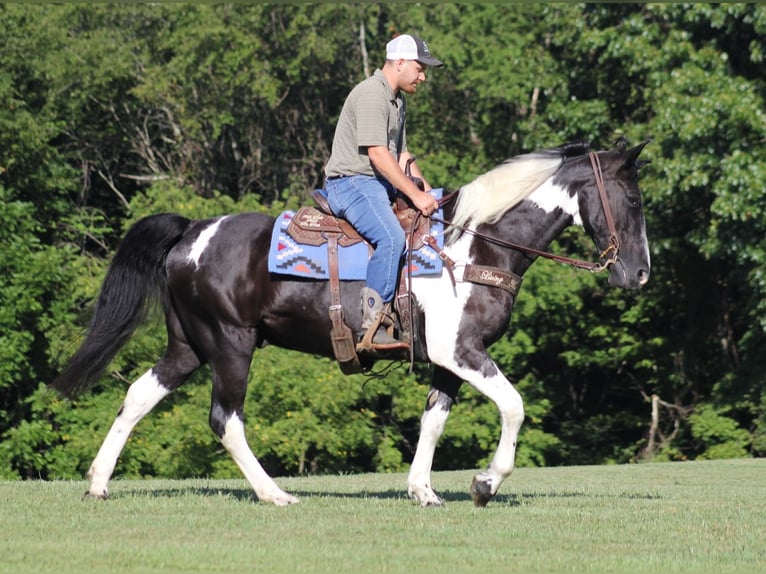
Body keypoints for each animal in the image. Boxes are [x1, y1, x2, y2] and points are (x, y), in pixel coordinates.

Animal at [52, 140, 656, 508]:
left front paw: (423, 490)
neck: (476, 245)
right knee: (226, 420)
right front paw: (485, 483)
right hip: (231, 345)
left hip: (189, 346)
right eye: (632, 198)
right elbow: (513, 406)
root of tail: (192, 231)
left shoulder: (449, 361)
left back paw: (98, 483)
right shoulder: (462, 351)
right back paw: (275, 494)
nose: (640, 273)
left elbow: (432, 423)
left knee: (137, 395)